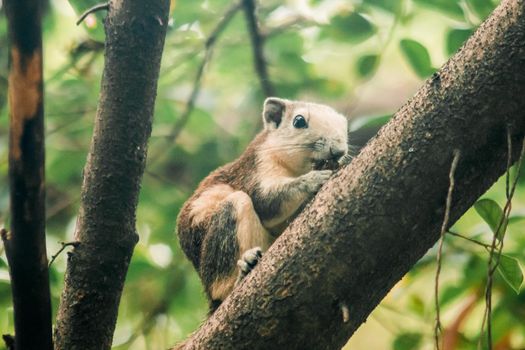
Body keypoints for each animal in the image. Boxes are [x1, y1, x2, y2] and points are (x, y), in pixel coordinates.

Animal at [176, 96, 348, 312]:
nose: (339, 150)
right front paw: (313, 179)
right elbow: (265, 202)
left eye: (345, 126)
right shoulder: (256, 167)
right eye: (299, 121)